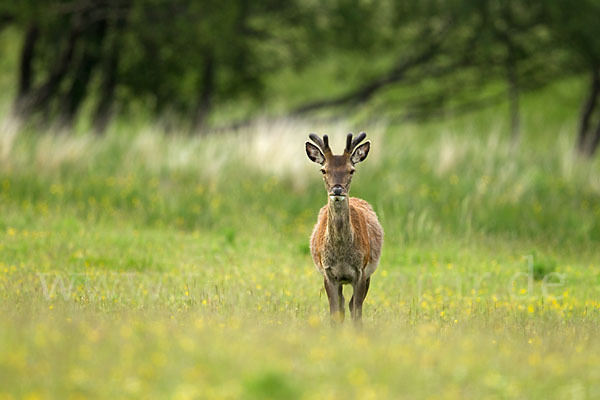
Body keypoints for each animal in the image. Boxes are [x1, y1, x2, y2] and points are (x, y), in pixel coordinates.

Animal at [304, 133, 384, 324]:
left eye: (351, 170)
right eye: (323, 170)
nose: (337, 189)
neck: (341, 256)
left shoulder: (361, 271)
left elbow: (356, 312)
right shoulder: (328, 273)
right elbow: (335, 312)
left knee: (350, 304)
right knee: (342, 305)